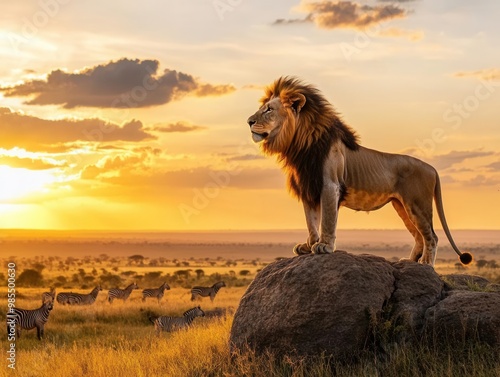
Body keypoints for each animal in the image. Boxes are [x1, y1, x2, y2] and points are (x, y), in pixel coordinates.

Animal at [248, 75, 474, 264]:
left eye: (269, 109)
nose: (249, 121)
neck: (299, 146)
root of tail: (432, 168)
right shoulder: (308, 188)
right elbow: (311, 220)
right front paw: (309, 245)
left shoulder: (329, 184)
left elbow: (327, 219)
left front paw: (324, 246)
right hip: (401, 206)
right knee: (419, 237)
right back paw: (409, 262)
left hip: (418, 204)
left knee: (432, 237)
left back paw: (426, 264)